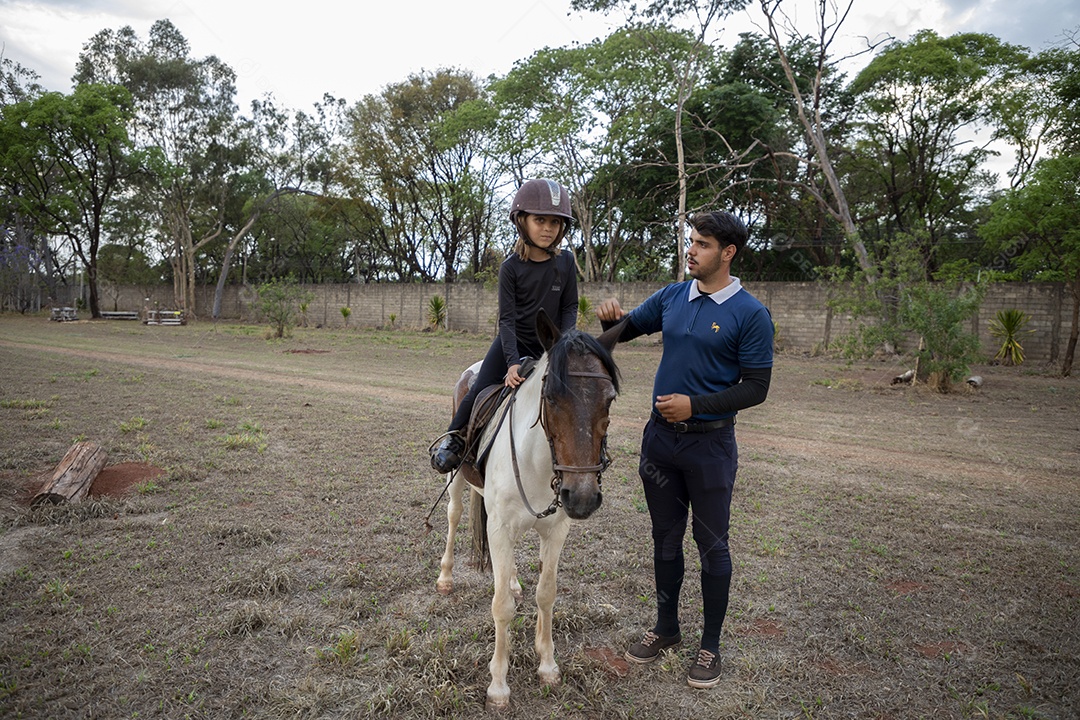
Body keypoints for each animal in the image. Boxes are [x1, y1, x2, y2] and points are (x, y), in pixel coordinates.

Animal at [436, 313, 626, 712]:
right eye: (551, 397)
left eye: (610, 400)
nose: (582, 497)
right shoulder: (499, 527)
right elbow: (501, 608)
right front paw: (498, 685)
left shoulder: (555, 530)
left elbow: (546, 594)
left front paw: (548, 665)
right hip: (457, 480)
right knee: (453, 515)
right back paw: (445, 577)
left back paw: (511, 581)